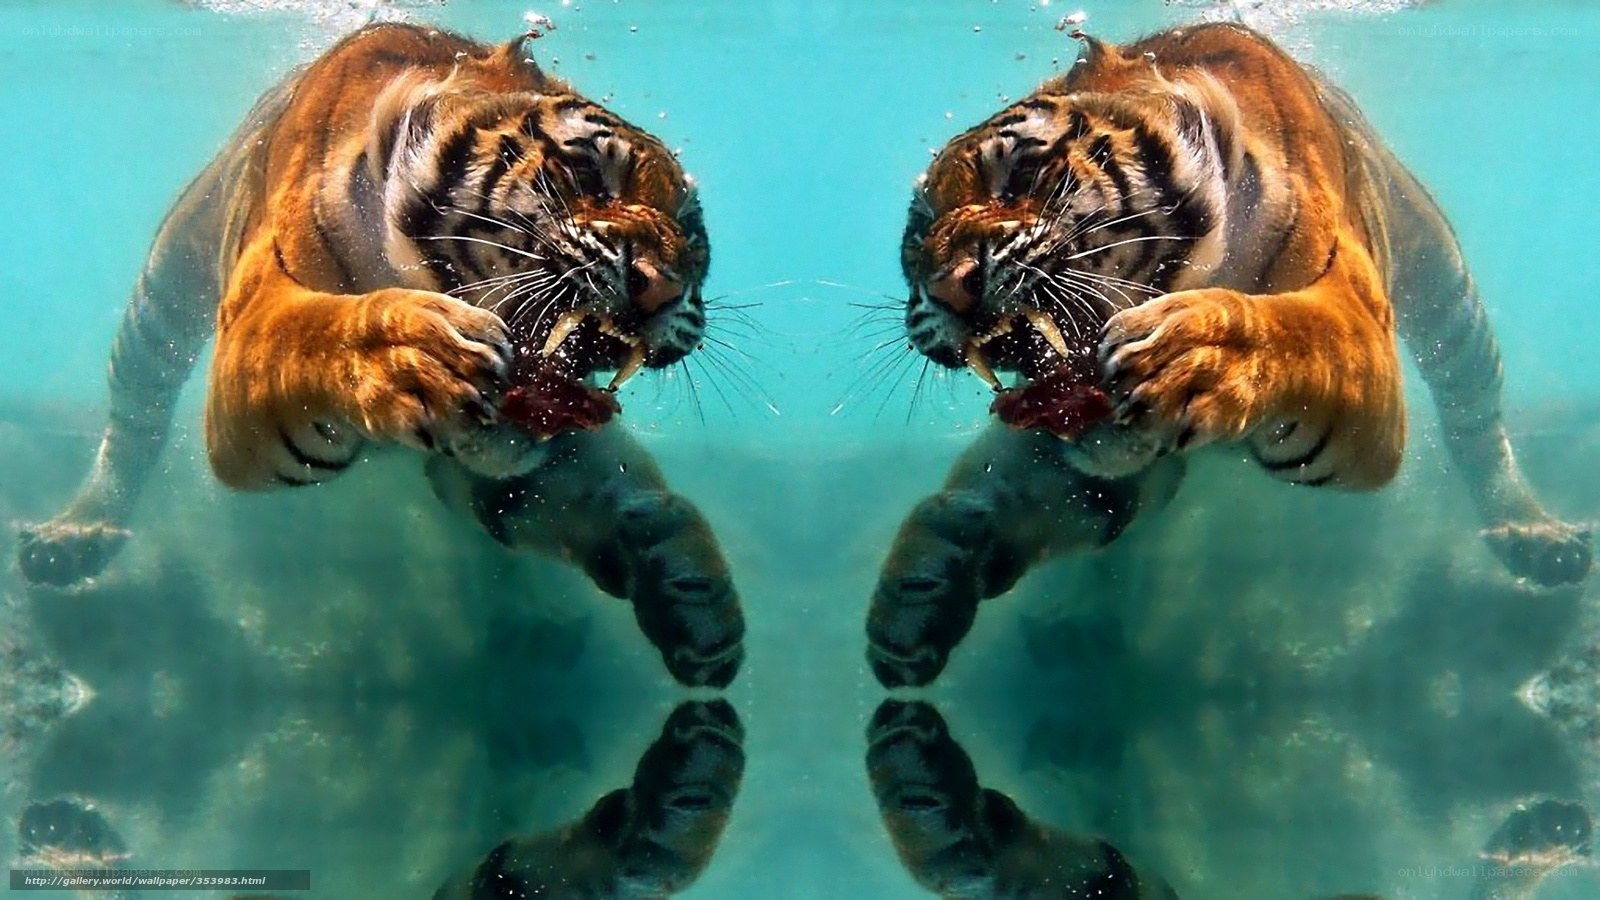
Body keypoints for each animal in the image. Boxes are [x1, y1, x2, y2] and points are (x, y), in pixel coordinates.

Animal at [13, 22, 744, 688]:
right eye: (588, 171)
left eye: (693, 237)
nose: (663, 288)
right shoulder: (253, 323)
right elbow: (314, 333)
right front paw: (418, 354)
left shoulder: (510, 456)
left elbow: (603, 490)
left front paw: (693, 592)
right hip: (164, 290)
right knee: (135, 415)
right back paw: (74, 537)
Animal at [867, 22, 1592, 689]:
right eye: (917, 237)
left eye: (1022, 172)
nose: (947, 288)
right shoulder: (1099, 455)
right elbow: (1003, 491)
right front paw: (917, 593)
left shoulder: (1358, 324)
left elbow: (1297, 333)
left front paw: (1193, 354)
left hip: (1445, 287)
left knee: (1475, 416)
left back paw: (1535, 538)